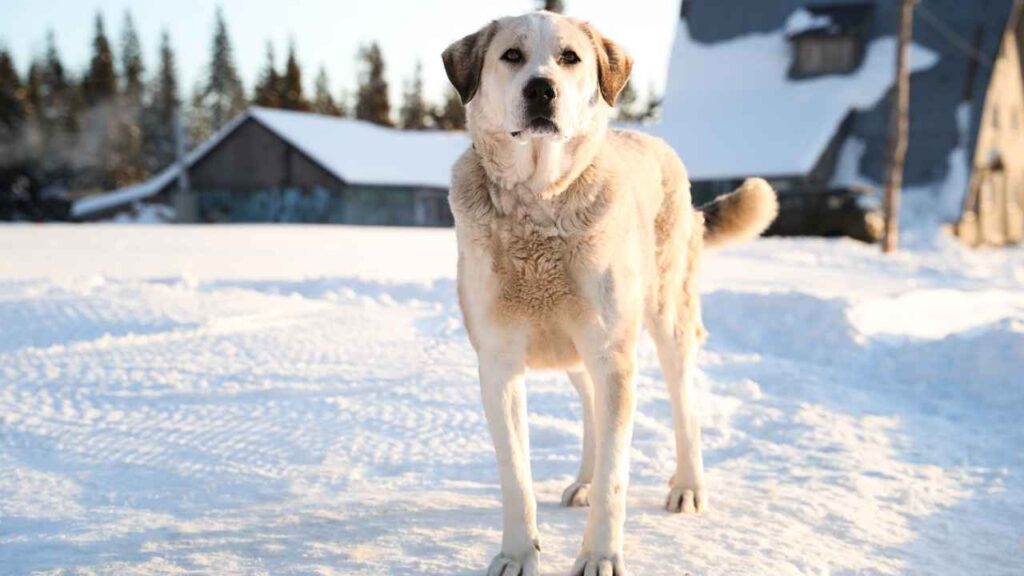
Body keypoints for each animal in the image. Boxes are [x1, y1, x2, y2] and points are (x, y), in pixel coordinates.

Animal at [442, 10, 774, 573]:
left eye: (570, 57)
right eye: (511, 55)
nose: (542, 89)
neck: (539, 204)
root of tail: (654, 143)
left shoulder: (612, 355)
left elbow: (616, 479)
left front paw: (599, 555)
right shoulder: (499, 361)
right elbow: (515, 478)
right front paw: (517, 553)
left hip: (665, 321)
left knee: (684, 407)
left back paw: (688, 487)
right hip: (577, 349)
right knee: (592, 408)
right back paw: (584, 480)